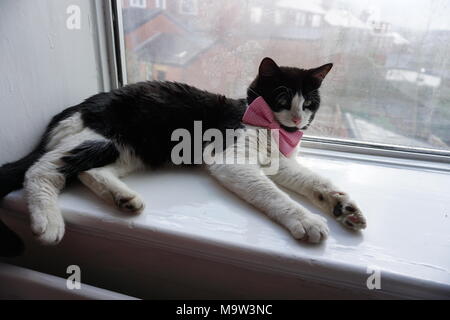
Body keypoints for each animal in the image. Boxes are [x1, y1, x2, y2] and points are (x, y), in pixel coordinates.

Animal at [0, 57, 366, 252]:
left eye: (310, 103)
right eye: (282, 97)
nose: (297, 119)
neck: (269, 129)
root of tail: (76, 108)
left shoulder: (279, 163)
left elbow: (313, 180)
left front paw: (343, 207)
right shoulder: (230, 159)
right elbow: (273, 193)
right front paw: (306, 220)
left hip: (132, 150)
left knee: (89, 171)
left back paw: (124, 199)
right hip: (102, 138)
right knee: (40, 169)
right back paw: (48, 222)